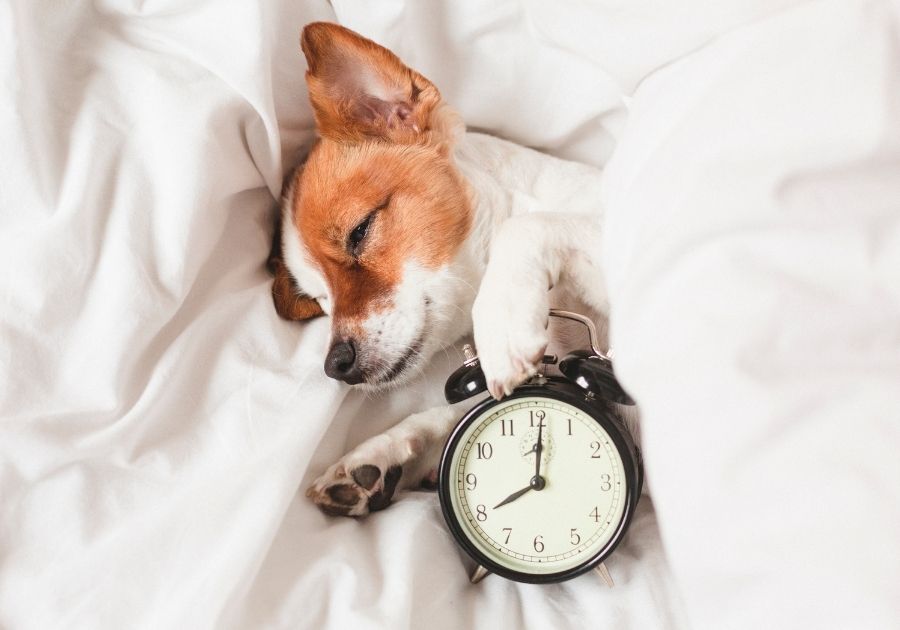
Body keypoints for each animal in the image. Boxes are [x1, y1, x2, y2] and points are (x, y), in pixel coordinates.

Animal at [268, 23, 612, 520]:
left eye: (360, 231)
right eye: (320, 300)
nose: (336, 364)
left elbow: (526, 227)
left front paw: (502, 323)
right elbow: (457, 413)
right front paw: (380, 456)